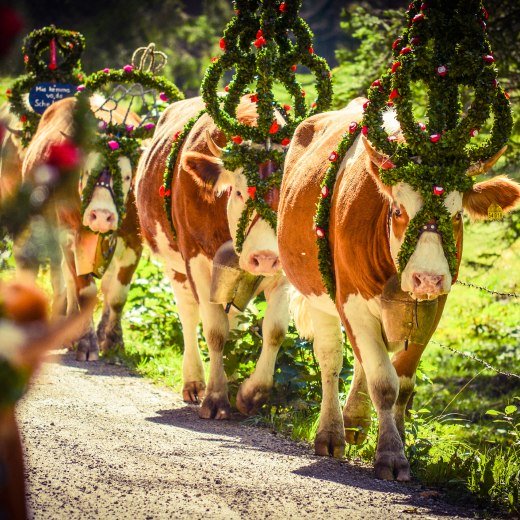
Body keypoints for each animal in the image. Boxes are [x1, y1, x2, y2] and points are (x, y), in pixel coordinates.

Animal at [20, 95, 143, 360]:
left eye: (127, 177)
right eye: (87, 172)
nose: (102, 216)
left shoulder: (134, 239)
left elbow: (117, 294)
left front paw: (113, 341)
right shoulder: (70, 236)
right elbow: (84, 291)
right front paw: (86, 342)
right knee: (66, 279)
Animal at [136, 96, 290, 418]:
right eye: (240, 193)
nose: (265, 258)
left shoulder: (283, 271)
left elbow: (275, 330)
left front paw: (251, 393)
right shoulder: (195, 261)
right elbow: (215, 330)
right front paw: (216, 397)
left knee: (231, 315)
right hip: (175, 267)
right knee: (189, 314)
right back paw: (195, 382)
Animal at [278, 97, 520, 480]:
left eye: (457, 216)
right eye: (397, 211)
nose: (428, 278)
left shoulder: (433, 307)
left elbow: (403, 385)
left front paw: (401, 441)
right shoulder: (351, 302)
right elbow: (384, 383)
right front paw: (391, 454)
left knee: (363, 361)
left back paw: (355, 420)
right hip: (317, 296)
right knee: (331, 361)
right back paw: (331, 433)